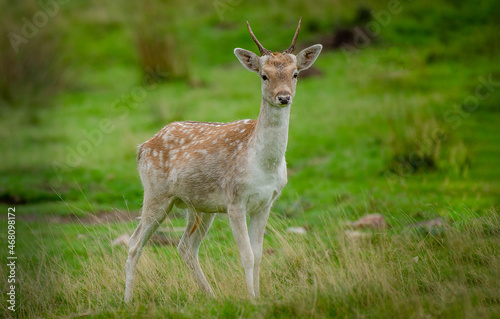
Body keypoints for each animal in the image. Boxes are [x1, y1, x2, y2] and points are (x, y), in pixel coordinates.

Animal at [123, 18, 322, 304]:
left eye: (295, 73)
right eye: (264, 75)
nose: (284, 97)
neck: (263, 164)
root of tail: (143, 147)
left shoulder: (267, 202)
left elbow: (259, 254)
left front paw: (259, 296)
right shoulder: (234, 200)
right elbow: (246, 255)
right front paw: (252, 300)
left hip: (199, 207)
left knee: (185, 246)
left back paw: (211, 296)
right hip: (155, 193)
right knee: (134, 242)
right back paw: (127, 300)